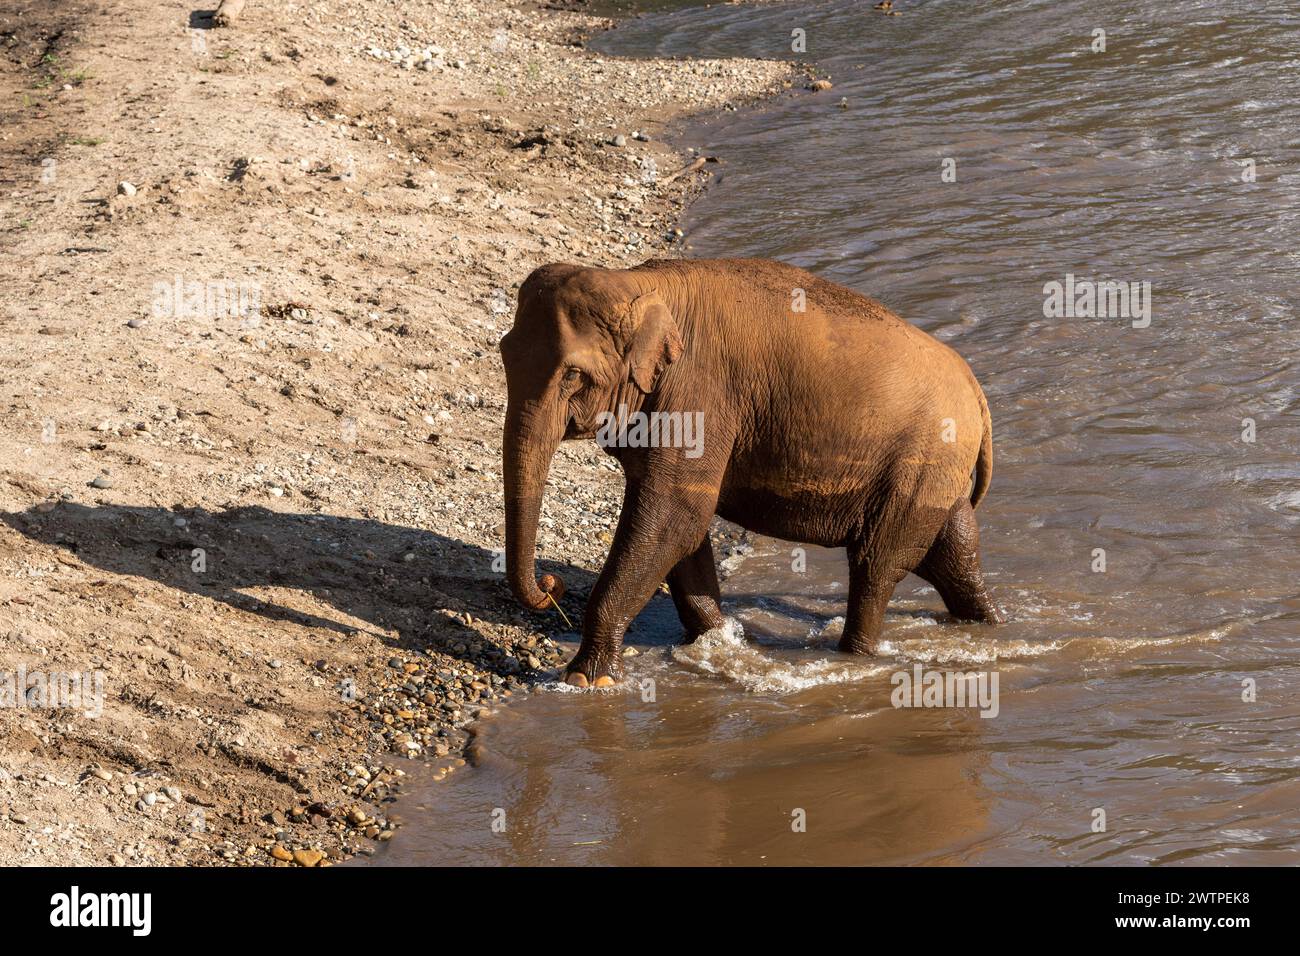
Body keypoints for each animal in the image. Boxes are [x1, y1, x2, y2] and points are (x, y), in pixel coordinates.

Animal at [499, 257, 1003, 686]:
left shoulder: (699, 395)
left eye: (572, 375)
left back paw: (853, 655)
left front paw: (586, 679)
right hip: (934, 472)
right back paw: (988, 624)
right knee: (954, 551)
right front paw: (719, 639)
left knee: (877, 564)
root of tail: (976, 393)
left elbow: (674, 518)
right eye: (503, 353)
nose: (550, 585)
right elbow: (680, 529)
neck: (638, 282)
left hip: (920, 462)